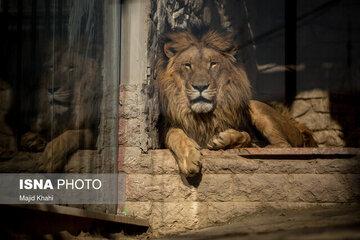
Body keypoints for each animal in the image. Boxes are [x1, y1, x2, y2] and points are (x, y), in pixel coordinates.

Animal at [156, 28, 316, 177]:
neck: (204, 117)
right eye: (188, 65)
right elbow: (175, 134)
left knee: (283, 145)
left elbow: (245, 136)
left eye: (213, 64)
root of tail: (296, 122)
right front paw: (190, 158)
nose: (200, 86)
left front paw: (224, 140)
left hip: (255, 106)